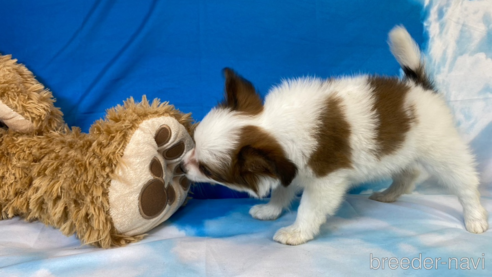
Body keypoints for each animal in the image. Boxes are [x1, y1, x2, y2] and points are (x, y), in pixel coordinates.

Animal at [179, 26, 486, 244]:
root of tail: (418, 87)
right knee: (408, 173)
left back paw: (475, 217)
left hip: (441, 150)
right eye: (193, 144)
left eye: (206, 169)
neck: (278, 125)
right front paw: (271, 210)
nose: (182, 165)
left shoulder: (325, 180)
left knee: (463, 183)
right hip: (402, 149)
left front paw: (296, 232)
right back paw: (389, 194)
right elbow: (281, 190)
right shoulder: (287, 167)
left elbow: (309, 207)